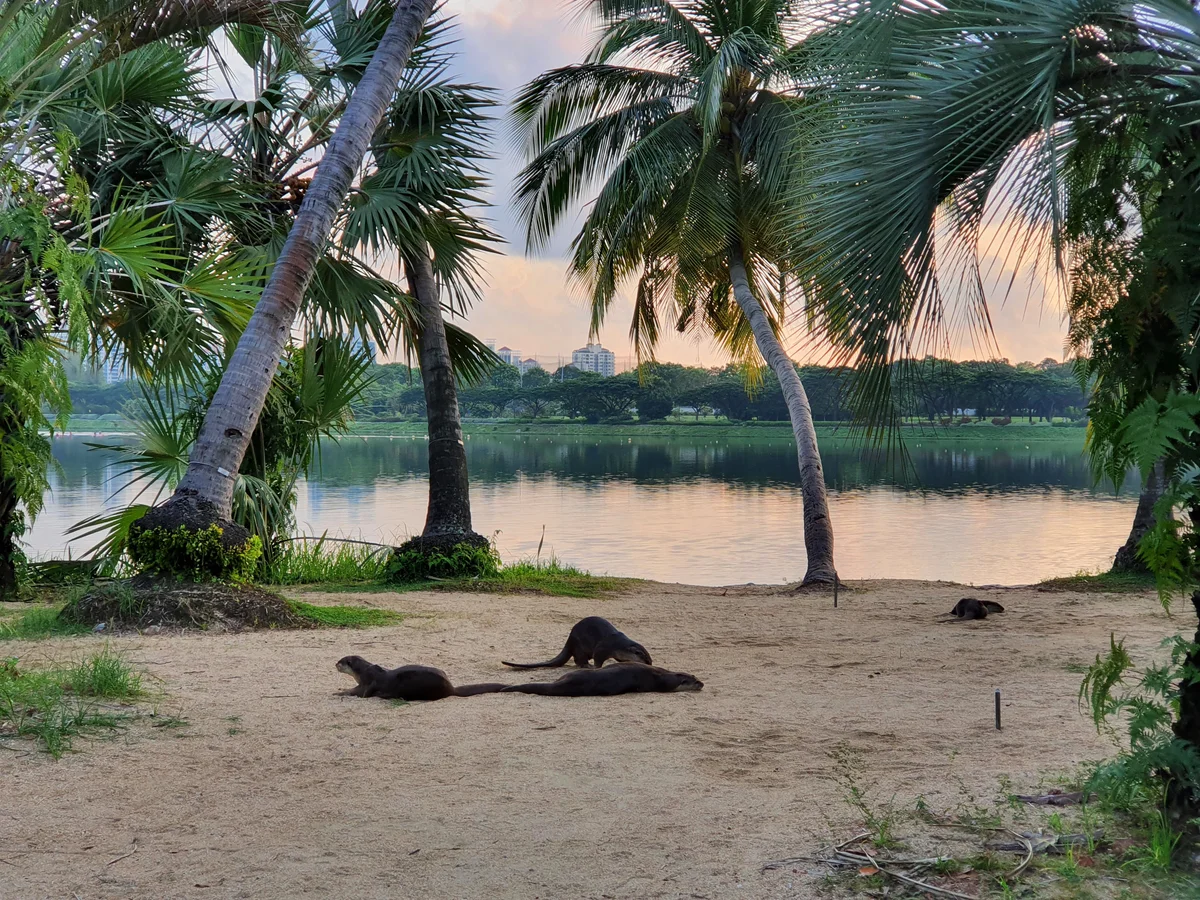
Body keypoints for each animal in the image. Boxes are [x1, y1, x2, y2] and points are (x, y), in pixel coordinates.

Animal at [336, 656, 505, 701]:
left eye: (341, 661)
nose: (335, 663)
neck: (363, 671)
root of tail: (451, 688)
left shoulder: (366, 684)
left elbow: (357, 693)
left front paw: (338, 692)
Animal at [502, 616, 651, 669]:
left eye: (648, 657)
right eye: (642, 655)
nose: (650, 662)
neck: (617, 644)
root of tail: (569, 640)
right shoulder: (601, 648)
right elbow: (598, 660)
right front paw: (595, 667)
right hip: (579, 646)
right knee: (578, 659)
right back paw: (585, 665)